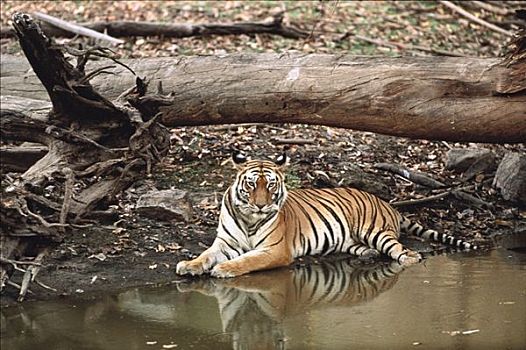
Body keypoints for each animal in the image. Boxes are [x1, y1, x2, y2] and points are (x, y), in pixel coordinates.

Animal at [177, 152, 478, 278]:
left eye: (270, 185)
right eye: (251, 185)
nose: (261, 206)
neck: (251, 218)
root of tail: (388, 203)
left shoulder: (275, 250)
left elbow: (248, 260)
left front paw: (224, 269)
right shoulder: (224, 243)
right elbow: (205, 255)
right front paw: (189, 265)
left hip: (376, 231)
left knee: (404, 252)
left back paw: (407, 259)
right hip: (352, 239)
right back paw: (368, 255)